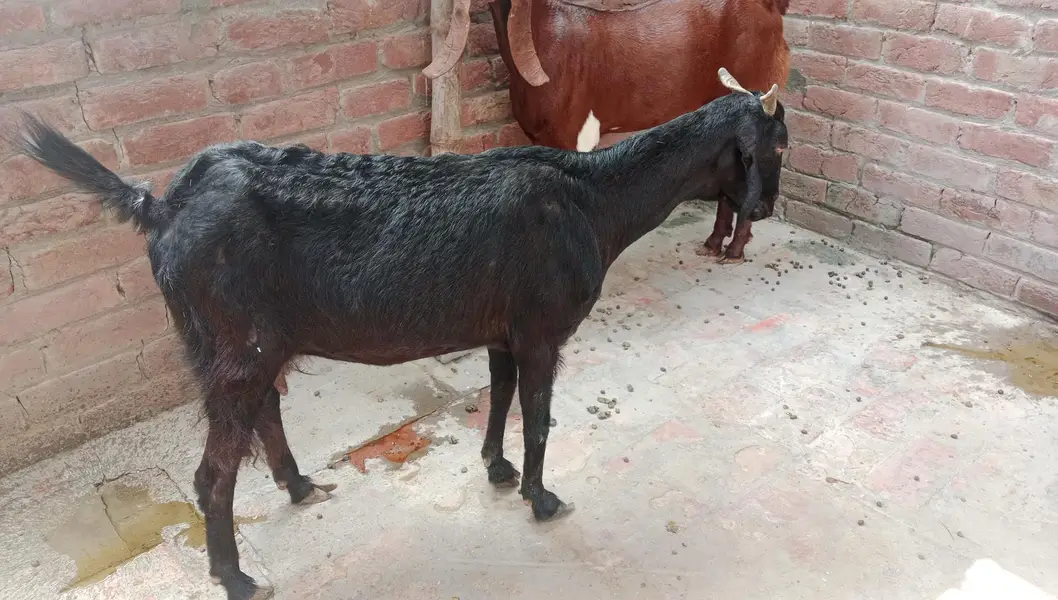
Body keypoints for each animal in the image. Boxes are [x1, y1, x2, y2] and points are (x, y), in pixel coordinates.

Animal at [12, 69, 786, 600]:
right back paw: (235, 577)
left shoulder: (503, 328)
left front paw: (497, 468)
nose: (766, 208)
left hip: (254, 342)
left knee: (265, 408)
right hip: (234, 343)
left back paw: (298, 485)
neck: (593, 199)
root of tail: (164, 208)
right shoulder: (542, 327)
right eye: (773, 145)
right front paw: (542, 498)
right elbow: (538, 414)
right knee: (214, 473)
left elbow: (499, 397)